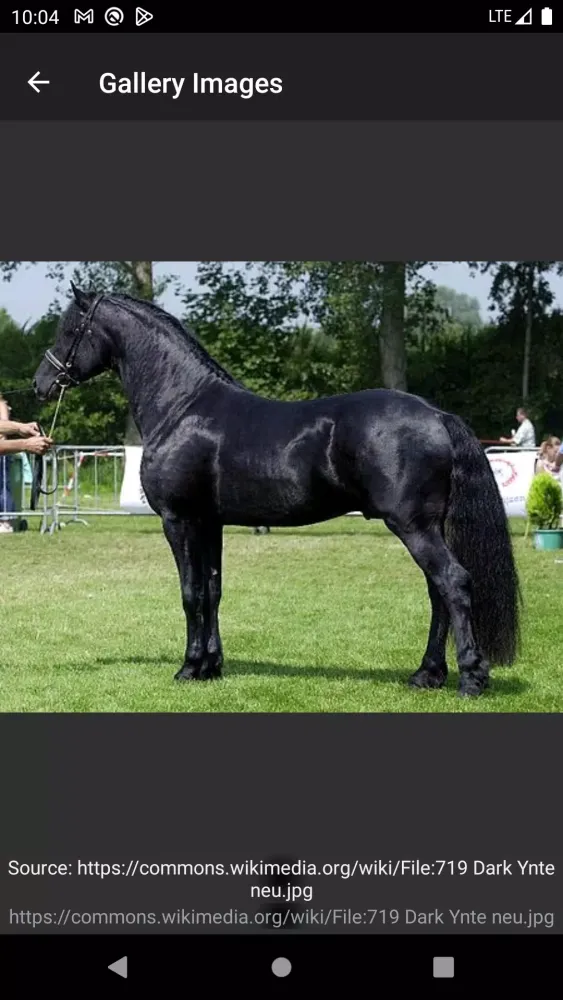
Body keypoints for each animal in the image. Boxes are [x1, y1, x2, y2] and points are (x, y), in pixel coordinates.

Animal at [32, 284, 521, 697]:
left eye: (71, 330)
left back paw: (470, 679)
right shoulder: (210, 523)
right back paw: (426, 675)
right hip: (427, 527)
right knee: (438, 591)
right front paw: (212, 666)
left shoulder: (179, 521)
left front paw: (189, 668)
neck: (182, 407)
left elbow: (190, 593)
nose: (41, 384)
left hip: (413, 526)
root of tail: (437, 415)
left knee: (452, 583)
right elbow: (212, 591)